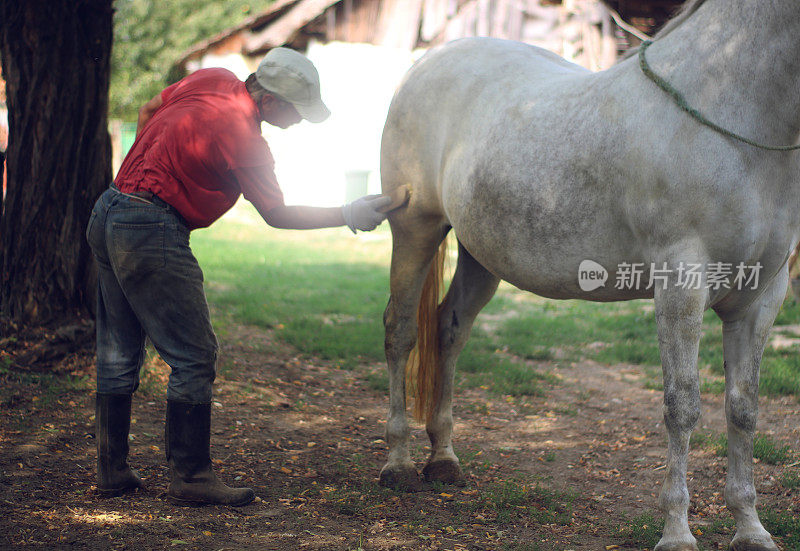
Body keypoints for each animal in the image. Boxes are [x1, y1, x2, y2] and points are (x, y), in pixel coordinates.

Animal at [378, 2, 796, 548]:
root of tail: (427, 62)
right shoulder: (680, 283)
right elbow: (681, 404)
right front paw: (677, 532)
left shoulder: (762, 296)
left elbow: (744, 409)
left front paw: (750, 528)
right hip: (415, 228)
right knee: (401, 332)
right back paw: (398, 464)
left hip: (479, 255)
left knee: (448, 329)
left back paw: (443, 459)